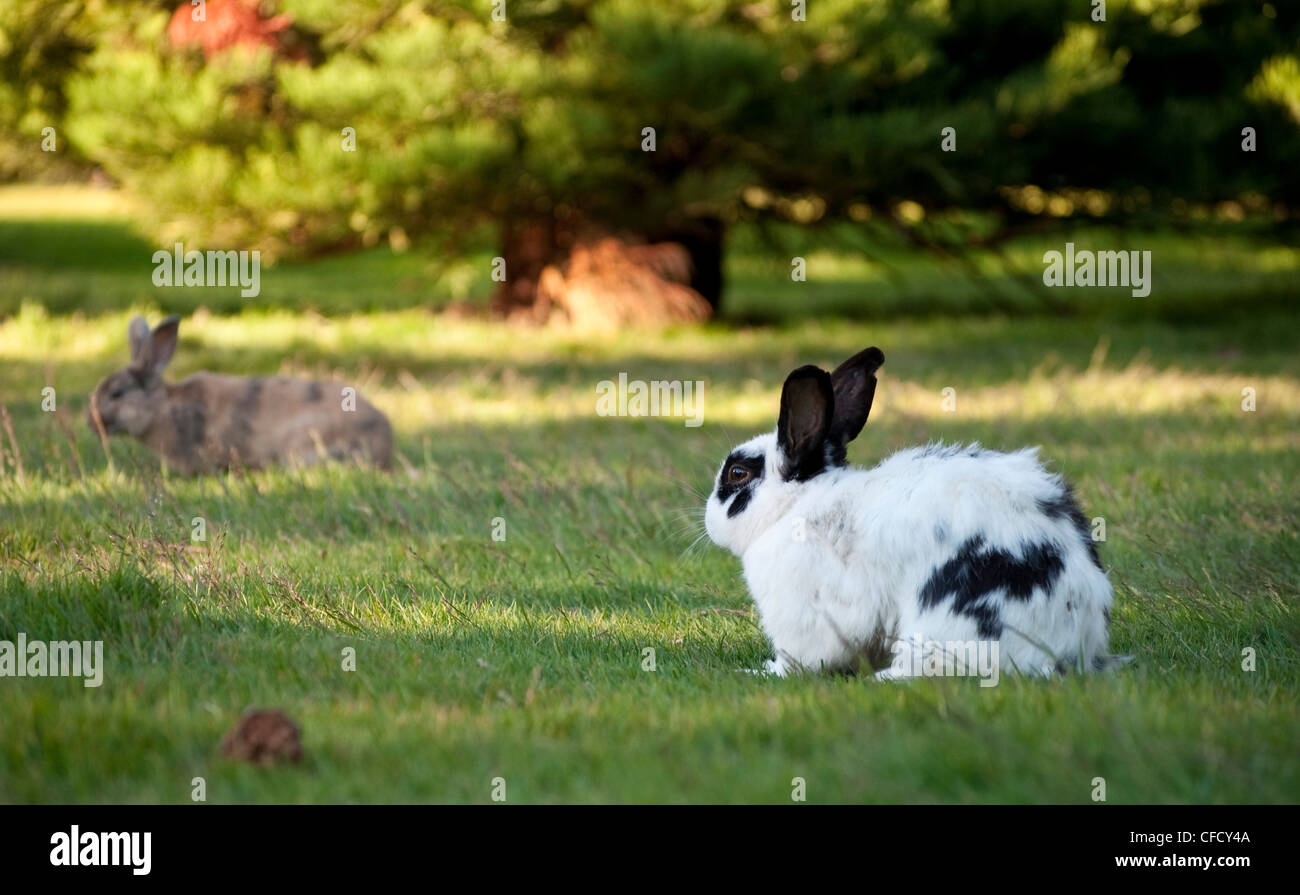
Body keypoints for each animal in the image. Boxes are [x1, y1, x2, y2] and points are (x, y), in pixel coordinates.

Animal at [704, 347, 1115, 679]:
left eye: (737, 473)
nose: (708, 520)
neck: (799, 505)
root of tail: (1065, 645)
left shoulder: (808, 615)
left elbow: (801, 659)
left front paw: (763, 671)